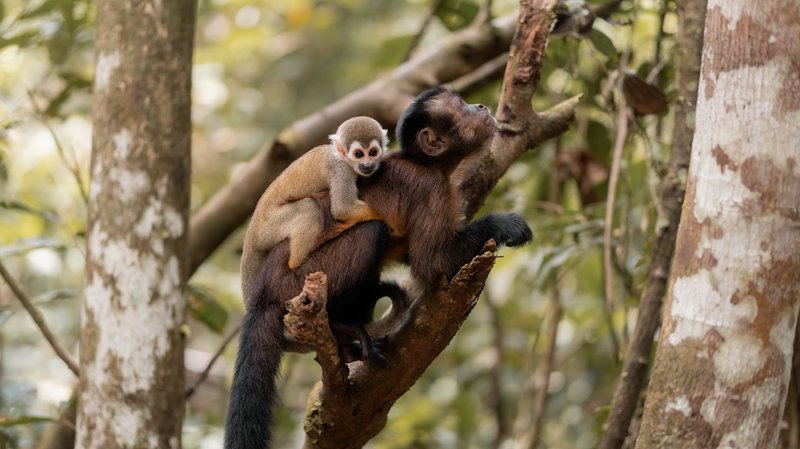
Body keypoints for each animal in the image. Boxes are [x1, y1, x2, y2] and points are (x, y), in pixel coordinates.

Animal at [240, 116, 390, 301]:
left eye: (373, 152)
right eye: (359, 154)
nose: (367, 165)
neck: (343, 159)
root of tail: (252, 231)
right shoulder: (341, 171)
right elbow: (342, 209)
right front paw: (385, 216)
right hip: (269, 226)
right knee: (309, 209)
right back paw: (295, 264)